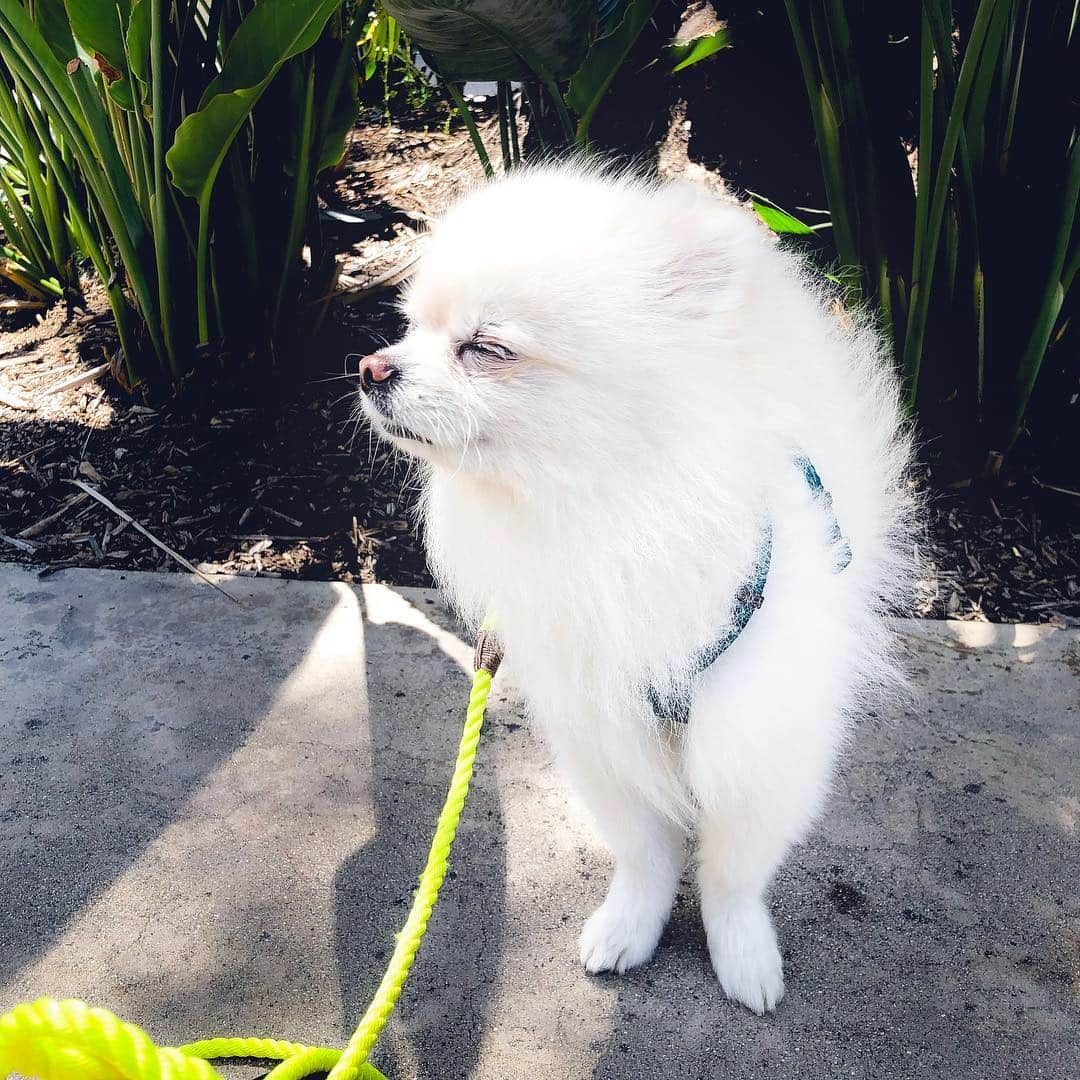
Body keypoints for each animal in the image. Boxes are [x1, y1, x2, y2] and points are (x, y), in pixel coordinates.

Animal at [358, 162, 915, 1010]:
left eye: (485, 347)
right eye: (409, 327)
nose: (371, 369)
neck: (605, 509)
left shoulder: (761, 732)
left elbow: (732, 870)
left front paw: (741, 951)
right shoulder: (600, 724)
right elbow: (645, 852)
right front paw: (629, 928)